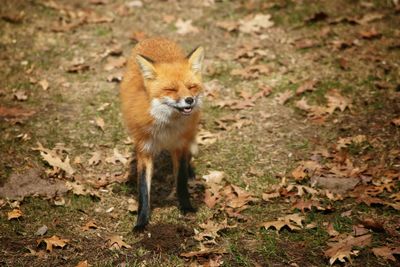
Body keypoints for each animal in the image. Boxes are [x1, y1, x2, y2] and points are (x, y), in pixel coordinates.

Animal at [120, 36, 205, 231]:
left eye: (191, 87)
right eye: (171, 89)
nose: (190, 100)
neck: (167, 128)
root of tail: (154, 38)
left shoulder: (179, 146)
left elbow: (181, 181)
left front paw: (186, 207)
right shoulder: (144, 149)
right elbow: (143, 190)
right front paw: (141, 222)